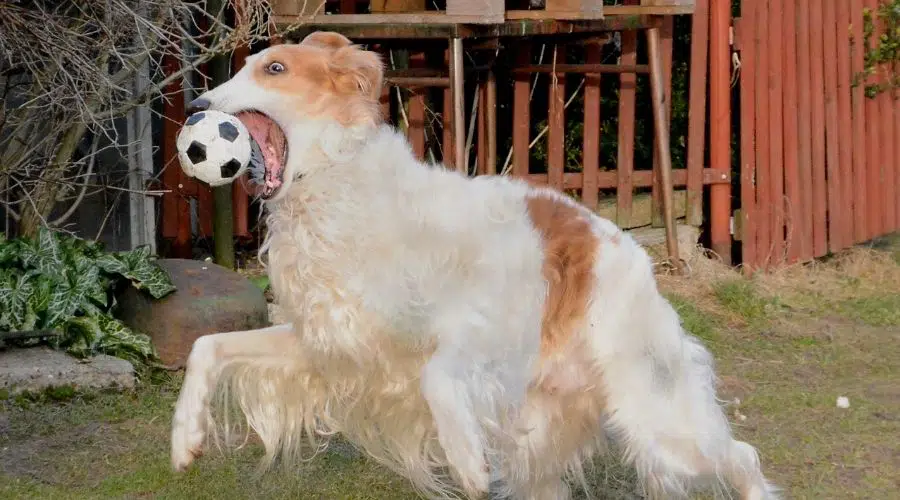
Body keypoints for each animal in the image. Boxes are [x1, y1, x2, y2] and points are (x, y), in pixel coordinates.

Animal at [171, 32, 780, 500]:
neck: (340, 186)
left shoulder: (483, 329)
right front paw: (185, 439)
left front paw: (467, 463)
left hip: (657, 416)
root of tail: (625, 249)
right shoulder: (330, 339)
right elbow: (206, 346)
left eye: (275, 68)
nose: (197, 107)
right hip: (548, 445)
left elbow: (439, 377)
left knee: (743, 455)